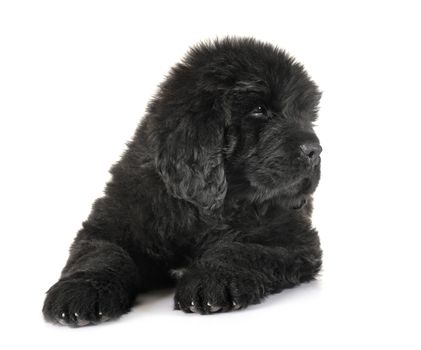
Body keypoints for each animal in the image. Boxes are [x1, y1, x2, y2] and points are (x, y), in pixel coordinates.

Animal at [42, 37, 324, 326]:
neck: (202, 208)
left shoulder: (292, 238)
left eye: (307, 116)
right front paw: (81, 291)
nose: (315, 150)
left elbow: (240, 248)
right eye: (259, 110)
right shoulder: (114, 220)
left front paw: (211, 280)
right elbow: (102, 253)